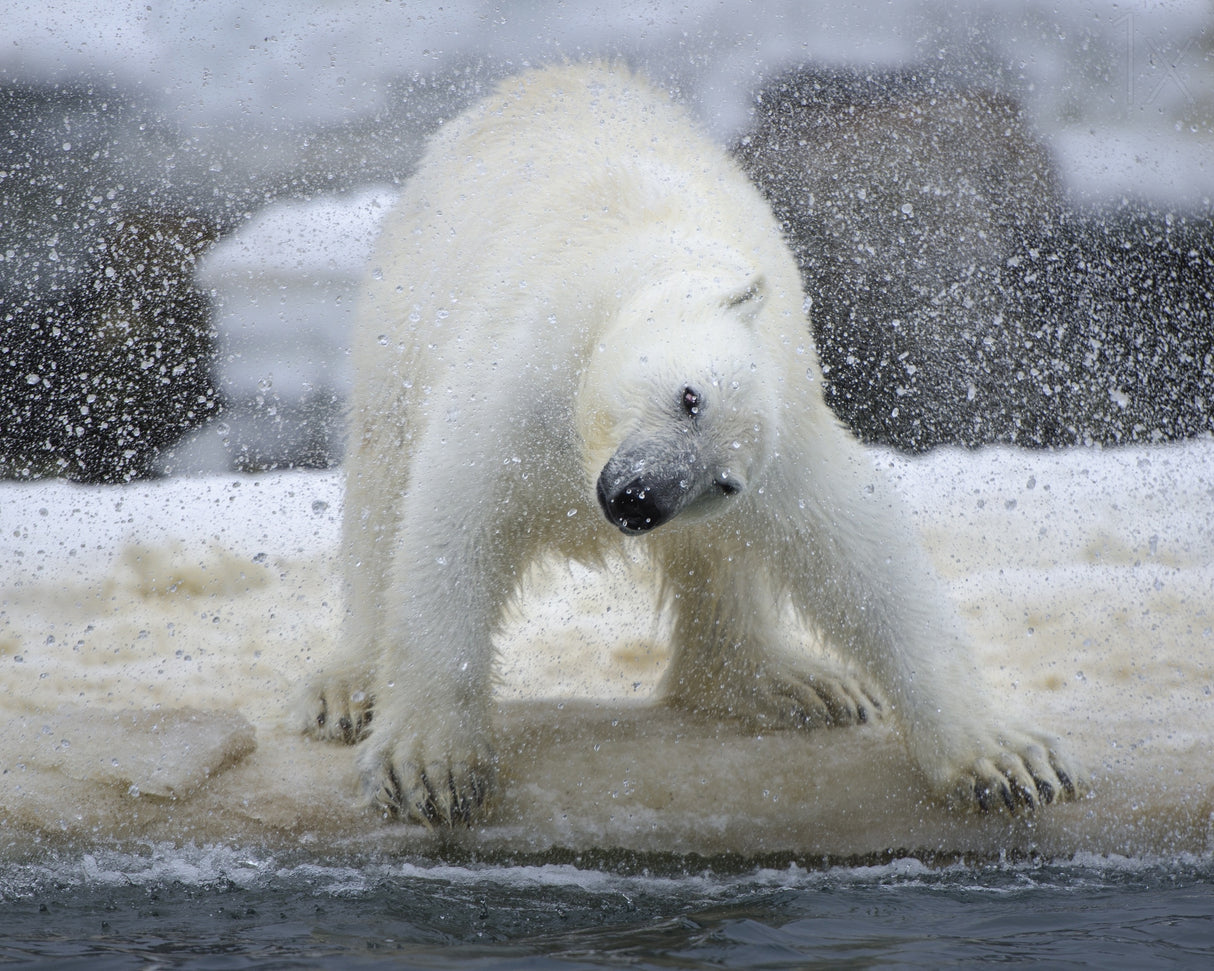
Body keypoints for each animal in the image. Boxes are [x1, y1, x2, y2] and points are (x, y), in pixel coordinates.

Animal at [300, 62, 1086, 826]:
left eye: (723, 481)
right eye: (689, 396)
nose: (641, 499)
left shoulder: (786, 430)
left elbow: (861, 556)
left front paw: (1007, 760)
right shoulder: (522, 374)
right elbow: (456, 528)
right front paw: (430, 766)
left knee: (724, 562)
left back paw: (793, 682)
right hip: (403, 315)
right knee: (382, 488)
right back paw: (349, 688)